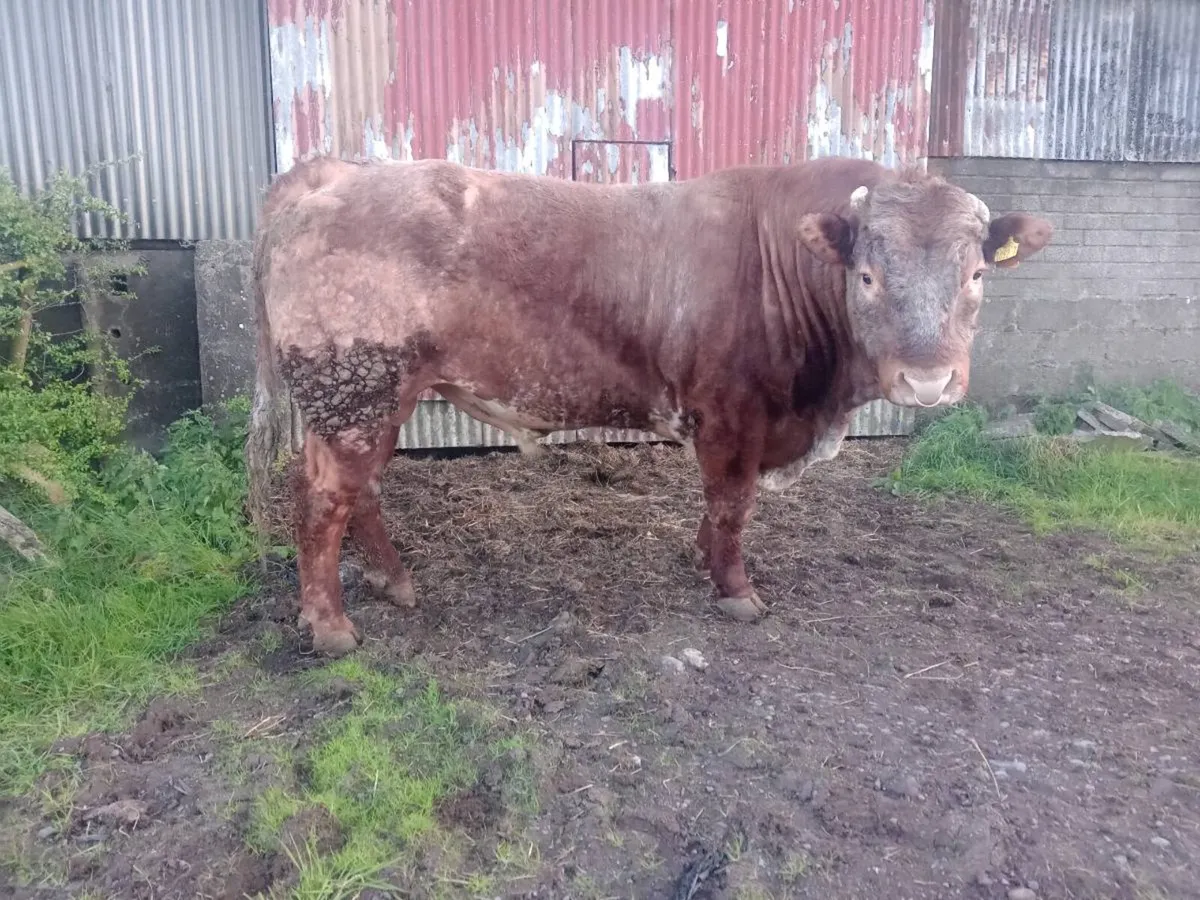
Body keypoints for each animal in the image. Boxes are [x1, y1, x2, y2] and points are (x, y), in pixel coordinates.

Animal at [245, 155, 1052, 656]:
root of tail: (334, 173)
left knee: (360, 492)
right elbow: (731, 502)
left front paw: (704, 561)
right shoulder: (731, 412)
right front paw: (736, 590)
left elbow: (719, 509)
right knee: (322, 502)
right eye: (867, 276)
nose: (927, 381)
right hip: (357, 389)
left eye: (977, 273)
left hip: (368, 400)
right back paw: (331, 626)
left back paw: (394, 582)